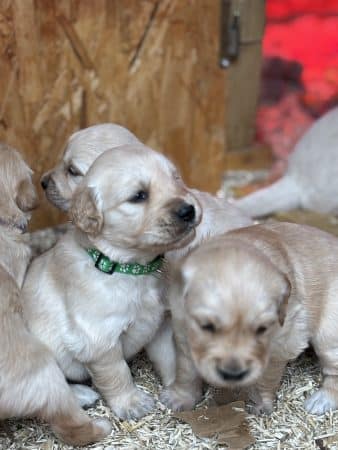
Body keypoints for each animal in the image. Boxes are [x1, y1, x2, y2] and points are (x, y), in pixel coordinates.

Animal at [22, 143, 202, 418]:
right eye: (139, 195)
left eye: (176, 178)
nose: (188, 210)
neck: (132, 268)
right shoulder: (98, 338)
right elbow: (117, 374)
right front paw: (131, 403)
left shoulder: (161, 322)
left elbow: (170, 357)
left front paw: (179, 393)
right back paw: (82, 394)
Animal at [162, 221, 338, 414]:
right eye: (207, 326)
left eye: (262, 329)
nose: (232, 374)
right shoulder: (182, 328)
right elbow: (186, 371)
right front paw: (180, 398)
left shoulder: (281, 343)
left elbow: (266, 377)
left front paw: (260, 403)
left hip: (328, 335)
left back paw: (322, 400)